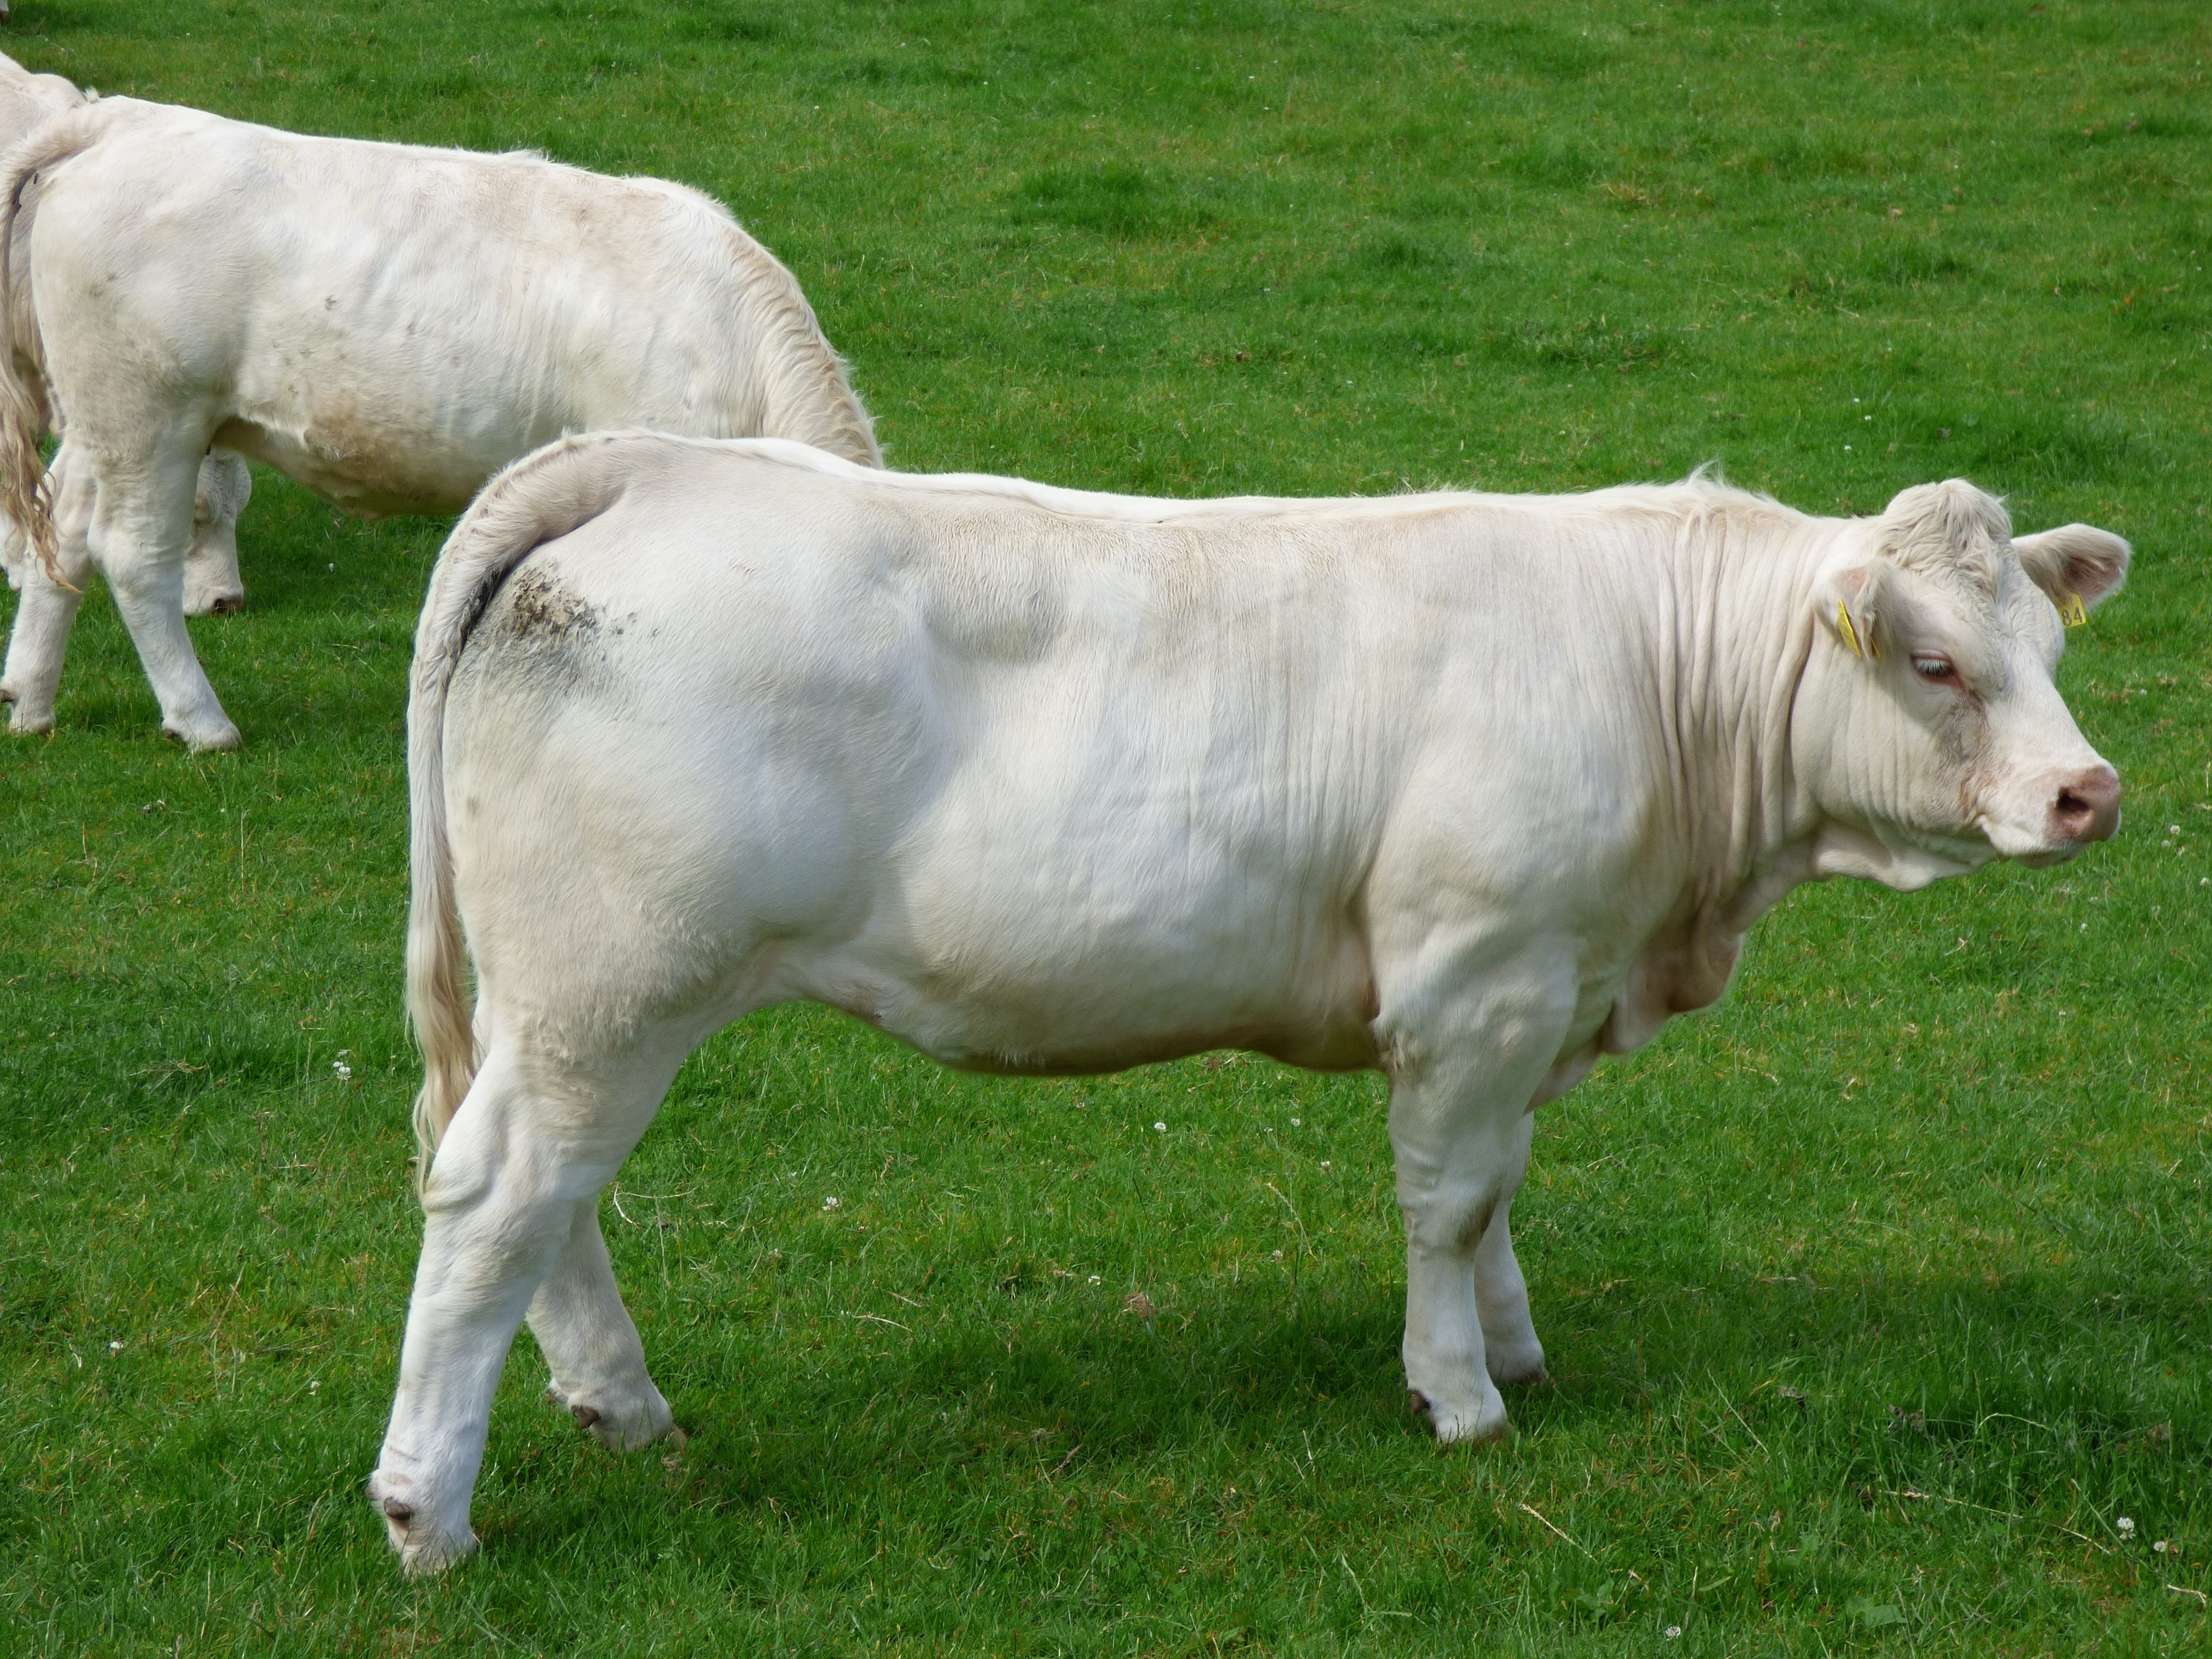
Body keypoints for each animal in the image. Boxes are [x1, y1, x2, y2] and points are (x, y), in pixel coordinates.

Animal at [371, 432, 2127, 1572]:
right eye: (1931, 662)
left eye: (2043, 645)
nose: (2086, 793)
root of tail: (656, 466)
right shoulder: (1475, 977)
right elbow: (1448, 1199)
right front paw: (1461, 1396)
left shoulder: (1532, 987)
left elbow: (1499, 1192)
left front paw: (1513, 1346)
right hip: (615, 984)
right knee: (499, 1195)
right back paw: (428, 1514)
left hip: (565, 1002)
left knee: (536, 1197)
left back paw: (622, 1410)